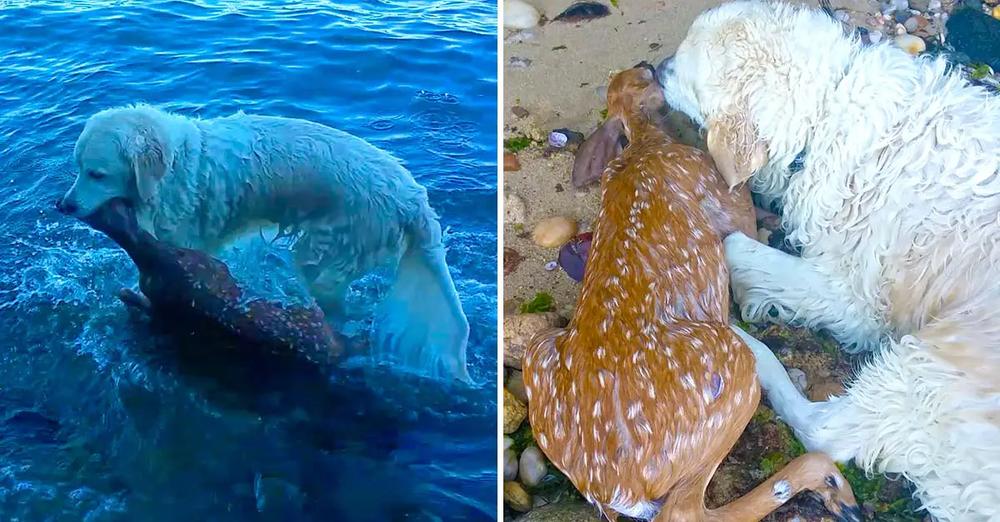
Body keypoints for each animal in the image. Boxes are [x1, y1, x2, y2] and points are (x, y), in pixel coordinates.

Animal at [56, 104, 470, 382]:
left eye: (96, 173)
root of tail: (414, 201)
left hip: (327, 254)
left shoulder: (185, 241)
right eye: (76, 168)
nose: (64, 205)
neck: (175, 166)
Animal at [524, 66, 860, 520]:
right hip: (733, 371)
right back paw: (833, 486)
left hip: (539, 348)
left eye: (632, 78)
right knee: (686, 511)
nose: (648, 64)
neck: (644, 142)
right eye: (647, 80)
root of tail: (615, 485)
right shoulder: (722, 192)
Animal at [656, 2, 1000, 516]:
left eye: (685, 71)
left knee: (827, 433)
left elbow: (735, 245)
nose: (656, 69)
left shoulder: (852, 295)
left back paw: (750, 351)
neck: (826, 112)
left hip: (934, 362)